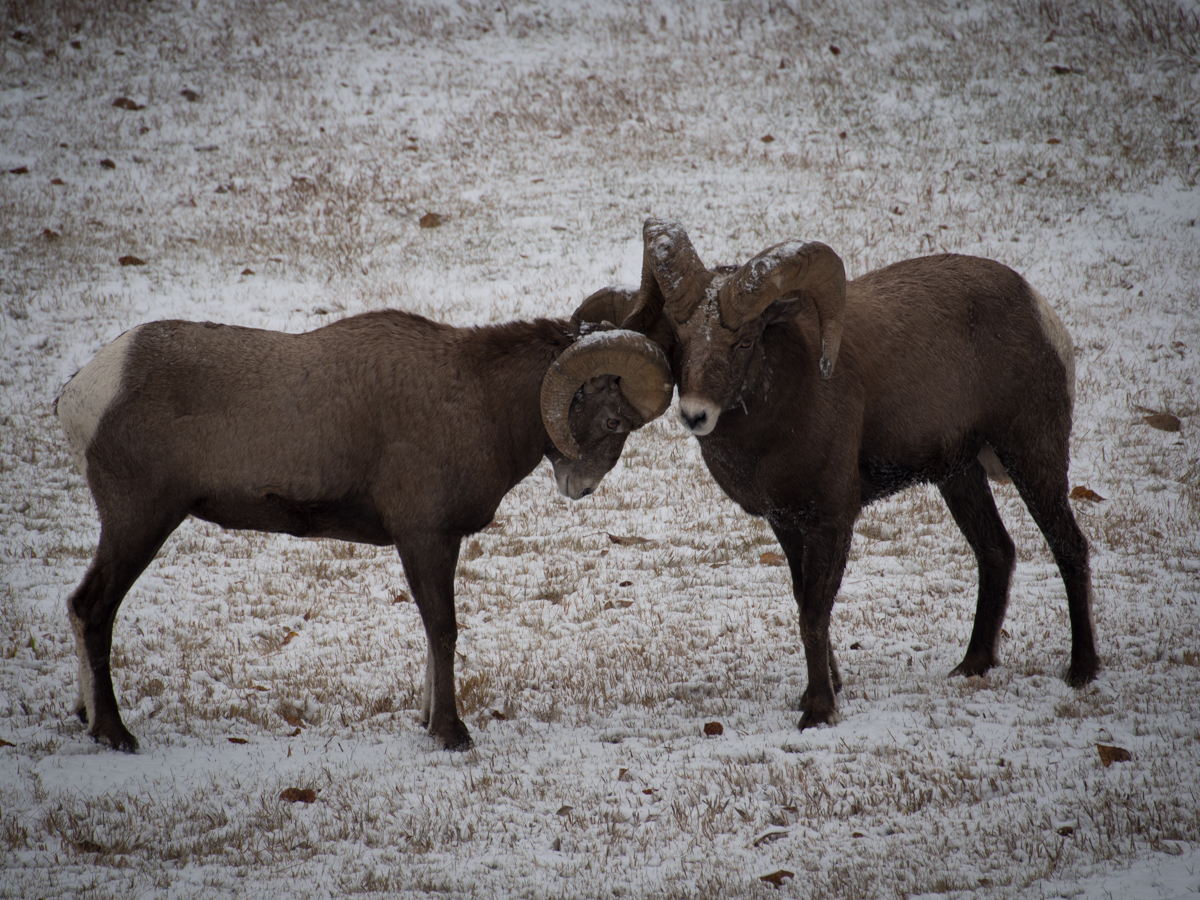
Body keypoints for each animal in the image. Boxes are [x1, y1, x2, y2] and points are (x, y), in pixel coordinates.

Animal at [56, 295, 673, 752]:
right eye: (616, 420)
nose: (580, 487)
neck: (478, 402)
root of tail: (83, 391)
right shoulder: (424, 537)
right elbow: (443, 630)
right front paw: (451, 734)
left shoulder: (437, 543)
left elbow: (432, 632)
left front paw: (428, 721)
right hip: (140, 521)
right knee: (92, 608)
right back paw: (114, 733)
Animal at [634, 217, 1098, 729]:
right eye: (680, 339)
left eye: (744, 341)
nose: (695, 415)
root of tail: (1039, 311)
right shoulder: (787, 525)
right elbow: (803, 603)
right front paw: (824, 690)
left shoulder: (833, 521)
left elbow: (814, 616)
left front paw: (818, 710)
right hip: (960, 477)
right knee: (997, 552)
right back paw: (972, 665)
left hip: (1032, 458)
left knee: (1069, 546)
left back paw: (1081, 670)